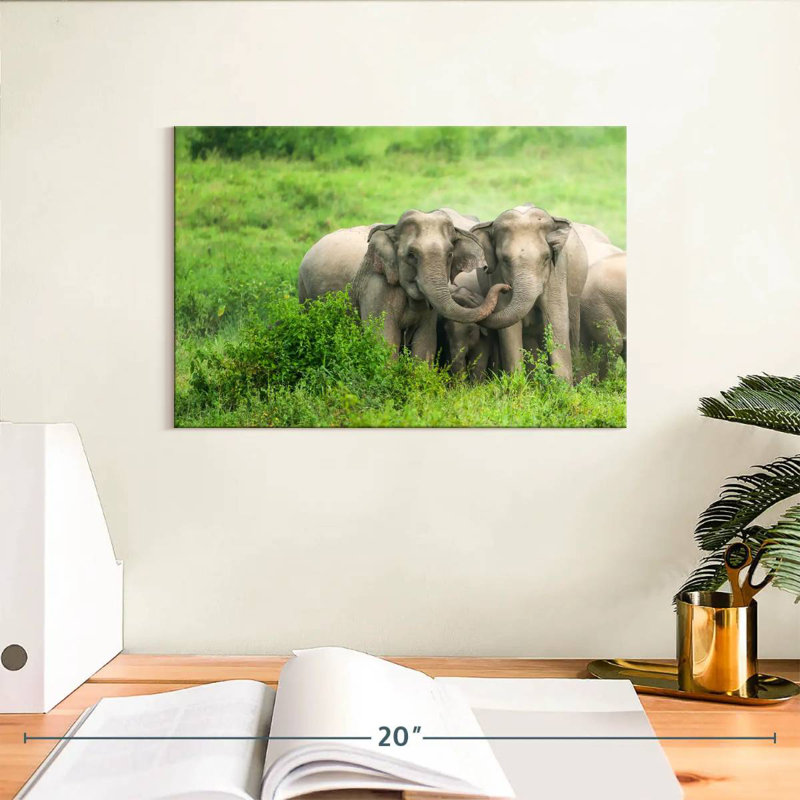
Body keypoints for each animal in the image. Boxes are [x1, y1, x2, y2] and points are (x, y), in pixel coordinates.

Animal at [469, 204, 589, 382]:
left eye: (546, 258)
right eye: (505, 260)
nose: (504, 288)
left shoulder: (557, 272)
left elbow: (556, 318)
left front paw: (563, 386)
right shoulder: (497, 275)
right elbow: (509, 328)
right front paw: (516, 384)